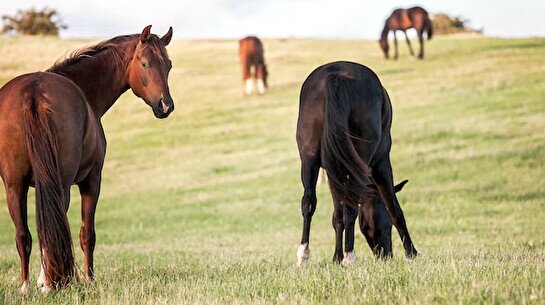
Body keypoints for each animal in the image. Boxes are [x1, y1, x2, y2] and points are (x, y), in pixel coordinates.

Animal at [0, 25, 173, 290]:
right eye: (144, 63)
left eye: (169, 65)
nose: (165, 105)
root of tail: (33, 92)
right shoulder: (91, 180)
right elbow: (86, 234)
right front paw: (88, 279)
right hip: (60, 184)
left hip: (14, 185)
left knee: (23, 235)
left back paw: (27, 286)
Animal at [294, 60, 416, 264]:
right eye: (387, 225)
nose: (386, 255)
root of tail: (334, 76)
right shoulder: (381, 163)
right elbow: (394, 207)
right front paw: (411, 253)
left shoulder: (334, 172)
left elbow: (337, 215)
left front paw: (336, 257)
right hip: (363, 157)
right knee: (351, 207)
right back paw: (349, 256)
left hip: (309, 157)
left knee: (308, 201)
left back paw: (304, 255)